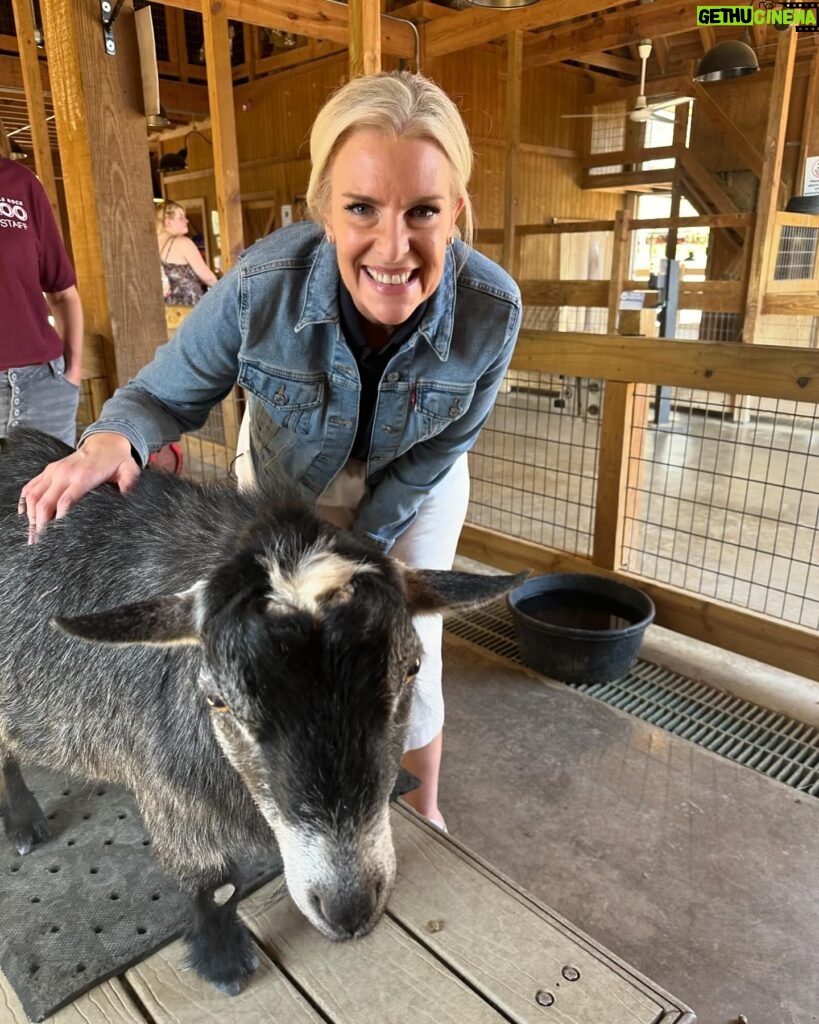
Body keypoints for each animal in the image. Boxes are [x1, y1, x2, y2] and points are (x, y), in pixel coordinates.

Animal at [0, 428, 524, 995]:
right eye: (218, 700)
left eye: (411, 669)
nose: (347, 907)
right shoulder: (166, 788)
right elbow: (212, 881)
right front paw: (223, 958)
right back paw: (24, 823)